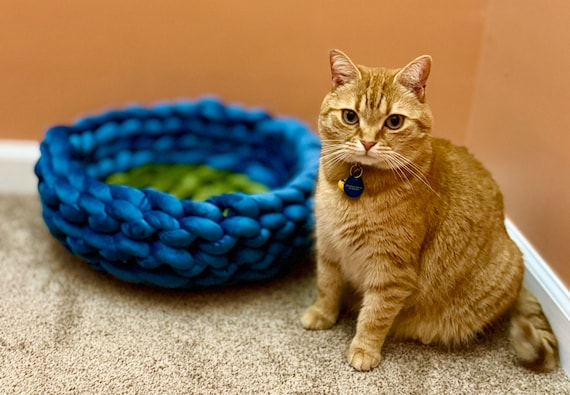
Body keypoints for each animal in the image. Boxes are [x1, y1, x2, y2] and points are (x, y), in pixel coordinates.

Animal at [300, 49, 556, 372]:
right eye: (350, 116)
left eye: (394, 122)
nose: (368, 142)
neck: (356, 187)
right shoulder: (329, 247)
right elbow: (327, 287)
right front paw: (322, 314)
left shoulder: (391, 271)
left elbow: (374, 316)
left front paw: (364, 350)